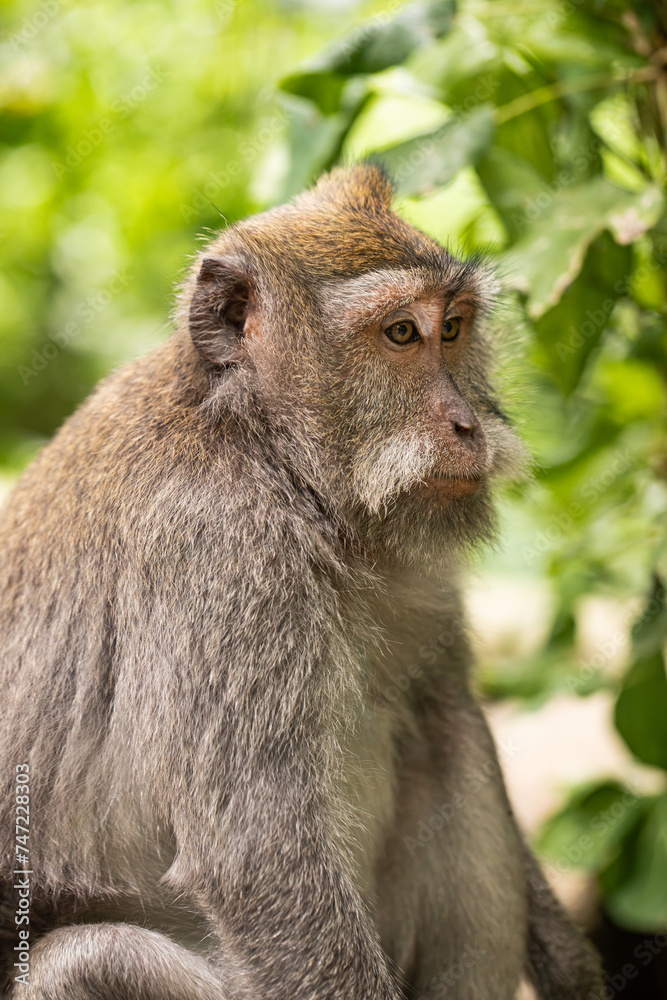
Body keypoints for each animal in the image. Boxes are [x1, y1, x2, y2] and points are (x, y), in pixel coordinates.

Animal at [0, 166, 604, 1000]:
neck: (271, 458)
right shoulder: (220, 557)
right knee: (92, 963)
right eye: (400, 334)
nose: (467, 425)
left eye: (452, 328)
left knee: (444, 727)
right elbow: (257, 857)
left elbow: (449, 702)